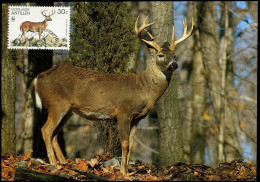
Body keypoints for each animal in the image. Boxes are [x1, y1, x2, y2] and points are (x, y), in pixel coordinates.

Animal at [31, 14, 195, 175]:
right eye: (160, 55)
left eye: (174, 55)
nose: (174, 65)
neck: (143, 90)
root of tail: (37, 78)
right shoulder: (123, 112)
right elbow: (125, 143)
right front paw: (123, 172)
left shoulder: (137, 118)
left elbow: (131, 145)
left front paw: (128, 171)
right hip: (57, 104)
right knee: (46, 130)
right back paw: (53, 164)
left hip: (68, 110)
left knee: (54, 134)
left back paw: (64, 163)